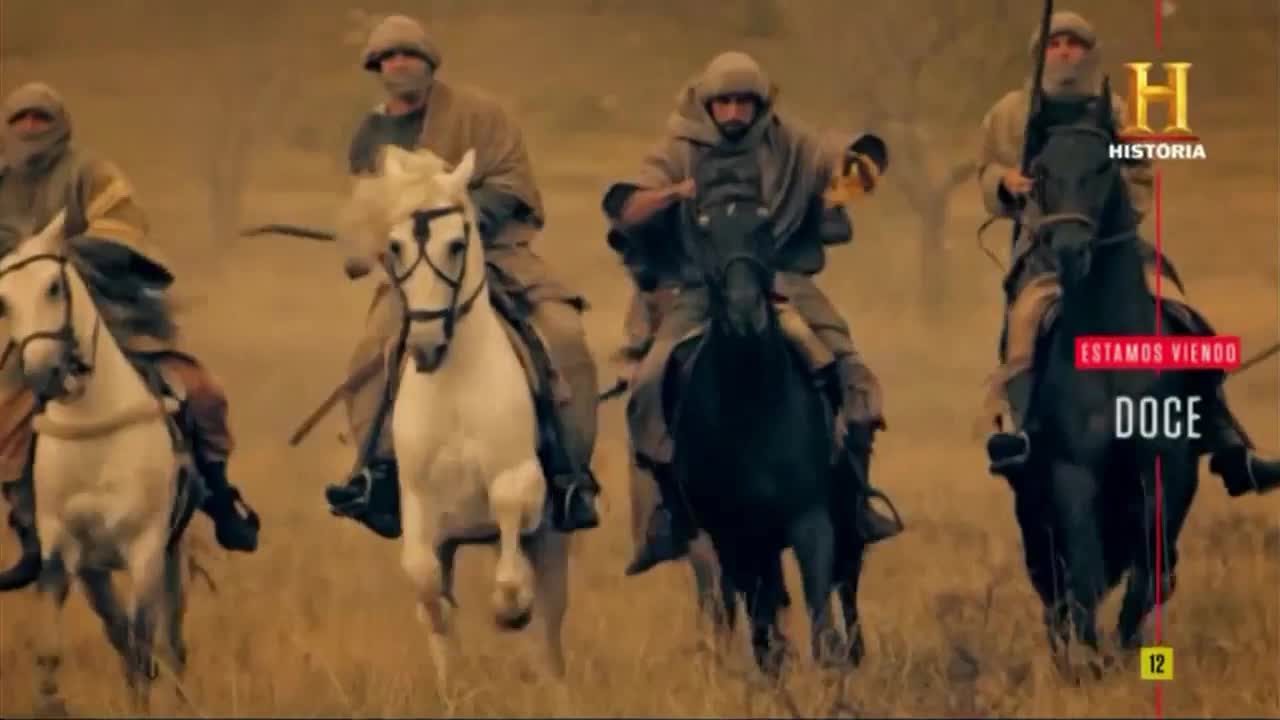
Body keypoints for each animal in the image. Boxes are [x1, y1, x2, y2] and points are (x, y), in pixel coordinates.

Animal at [0, 212, 195, 714]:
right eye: (4, 301)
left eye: (53, 286)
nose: (42, 375)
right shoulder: (60, 549)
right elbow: (51, 652)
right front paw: (49, 704)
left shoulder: (146, 550)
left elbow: (145, 650)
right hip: (95, 574)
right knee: (120, 635)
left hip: (169, 558)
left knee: (170, 644)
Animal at [346, 144, 571, 688]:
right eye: (396, 245)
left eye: (455, 244)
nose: (427, 344)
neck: (453, 387)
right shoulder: (419, 503)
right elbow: (424, 581)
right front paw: (445, 631)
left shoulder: (524, 482)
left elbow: (509, 514)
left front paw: (512, 606)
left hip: (552, 537)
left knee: (550, 622)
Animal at [660, 197, 867, 676]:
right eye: (705, 232)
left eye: (764, 228)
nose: (744, 312)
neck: (751, 408)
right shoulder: (734, 537)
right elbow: (762, 634)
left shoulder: (810, 522)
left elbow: (822, 628)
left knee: (846, 590)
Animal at [1008, 85, 1202, 677]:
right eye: (1041, 170)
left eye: (1102, 165)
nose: (1070, 249)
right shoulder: (1073, 474)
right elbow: (1086, 574)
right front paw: (1095, 659)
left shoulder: (1165, 469)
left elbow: (1149, 571)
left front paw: (1126, 646)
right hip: (1032, 512)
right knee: (1053, 586)